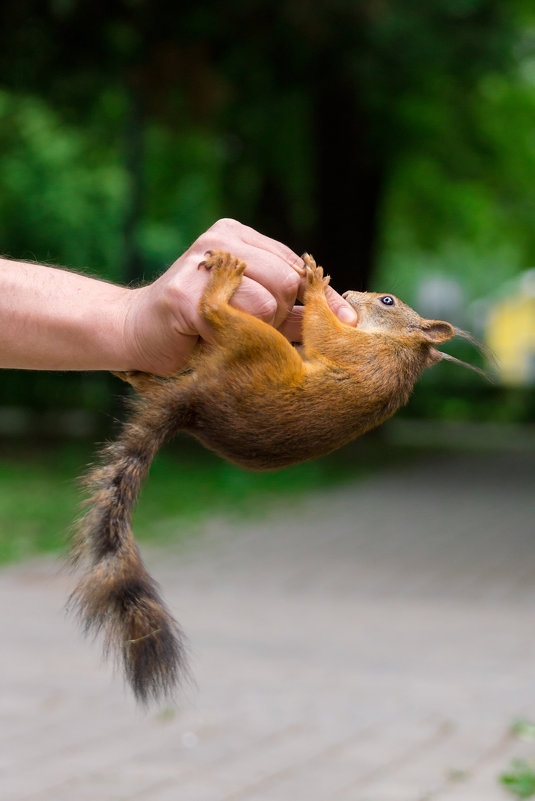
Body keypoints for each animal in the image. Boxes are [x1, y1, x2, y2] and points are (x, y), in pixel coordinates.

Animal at [68, 248, 486, 700]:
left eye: (387, 301)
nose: (350, 294)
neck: (400, 346)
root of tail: (195, 404)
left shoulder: (360, 350)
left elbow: (325, 334)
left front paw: (316, 286)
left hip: (264, 352)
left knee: (216, 318)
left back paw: (220, 288)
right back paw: (136, 372)